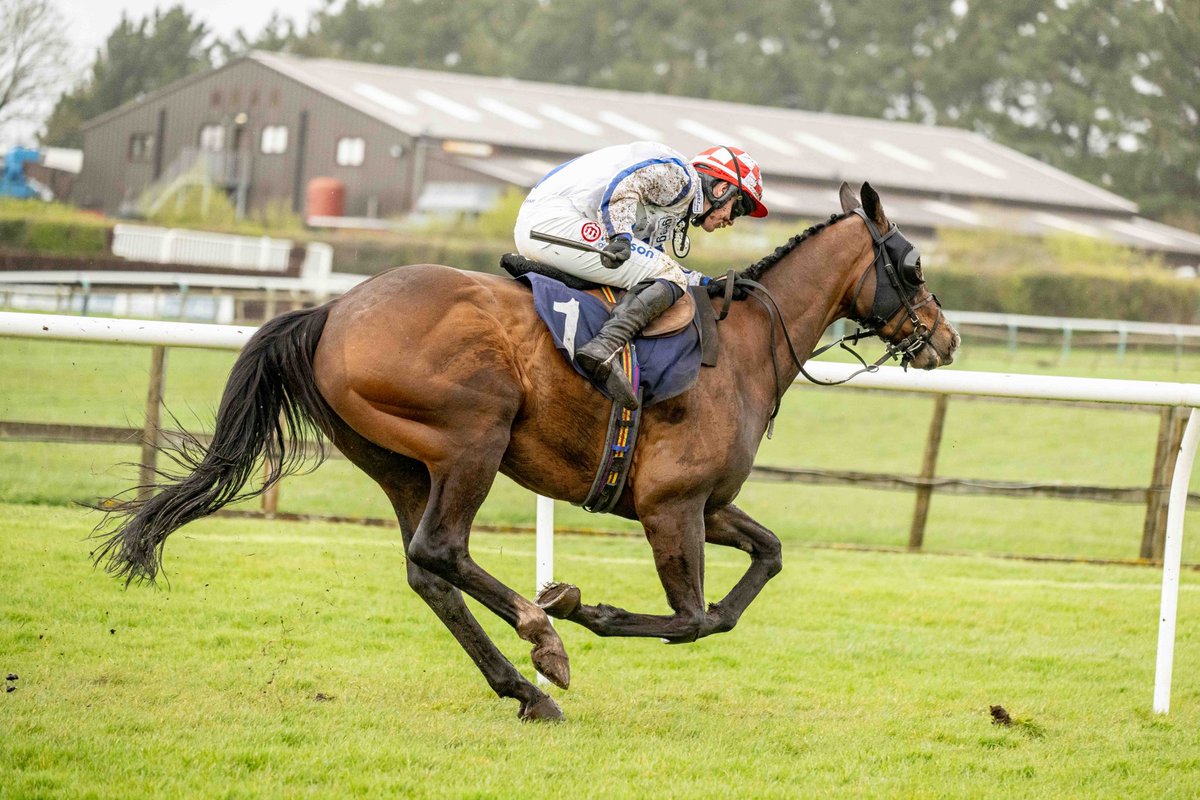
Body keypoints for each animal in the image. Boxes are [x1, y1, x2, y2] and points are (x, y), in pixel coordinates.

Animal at [93, 181, 960, 719]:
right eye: (913, 264)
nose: (945, 339)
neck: (742, 349)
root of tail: (332, 309)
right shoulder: (670, 505)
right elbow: (693, 620)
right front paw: (586, 609)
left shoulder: (709, 505)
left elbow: (763, 564)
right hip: (473, 436)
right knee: (442, 551)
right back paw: (543, 639)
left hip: (400, 462)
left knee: (426, 569)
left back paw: (525, 688)